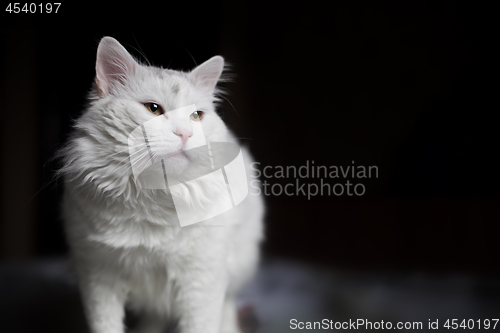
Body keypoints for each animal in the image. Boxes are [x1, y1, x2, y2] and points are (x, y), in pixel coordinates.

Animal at [59, 37, 266, 332]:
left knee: (228, 305)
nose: (186, 133)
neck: (152, 197)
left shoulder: (202, 280)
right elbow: (105, 325)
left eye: (196, 116)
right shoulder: (97, 276)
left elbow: (201, 324)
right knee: (154, 317)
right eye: (153, 109)